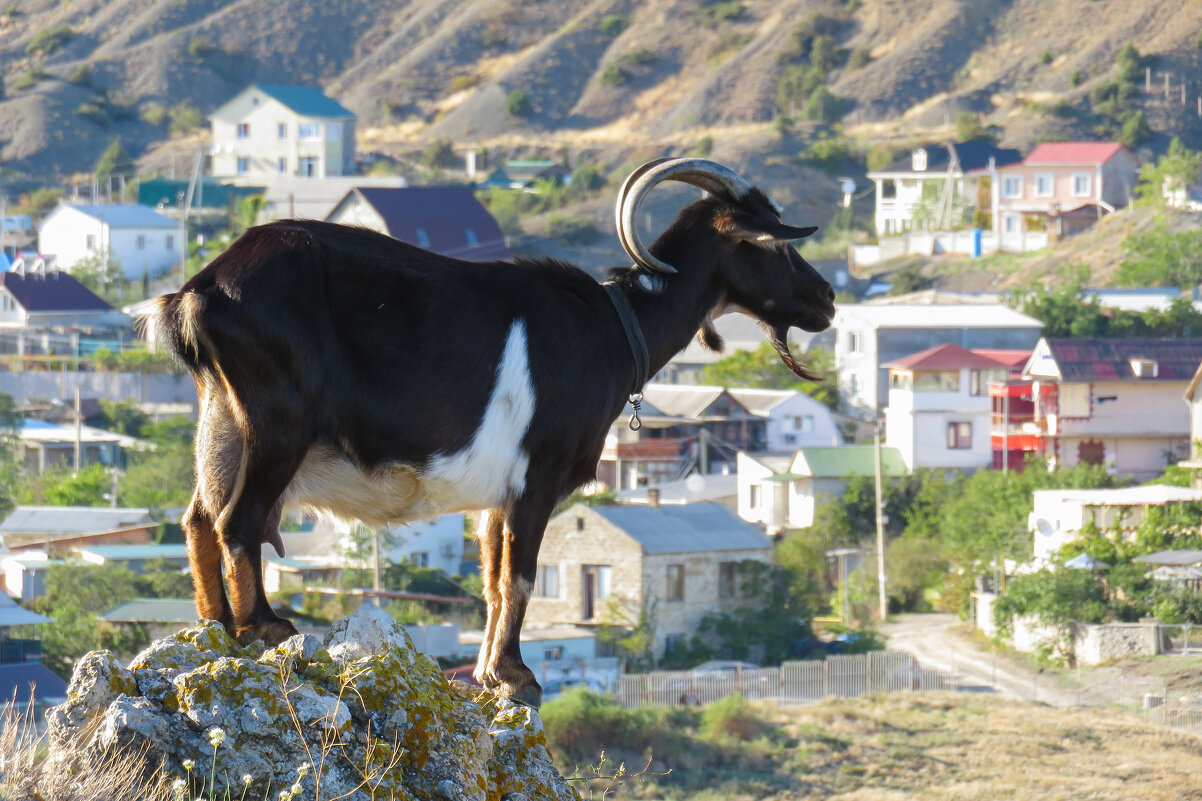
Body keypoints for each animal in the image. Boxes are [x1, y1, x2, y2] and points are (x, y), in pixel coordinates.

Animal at [150, 157, 836, 707]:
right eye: (770, 244)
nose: (826, 300)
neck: (618, 325)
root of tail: (199, 291)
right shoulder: (539, 475)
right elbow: (521, 576)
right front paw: (518, 676)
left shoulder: (496, 496)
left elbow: (491, 578)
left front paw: (486, 674)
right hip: (278, 421)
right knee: (237, 518)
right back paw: (264, 628)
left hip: (222, 417)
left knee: (198, 518)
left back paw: (215, 633)